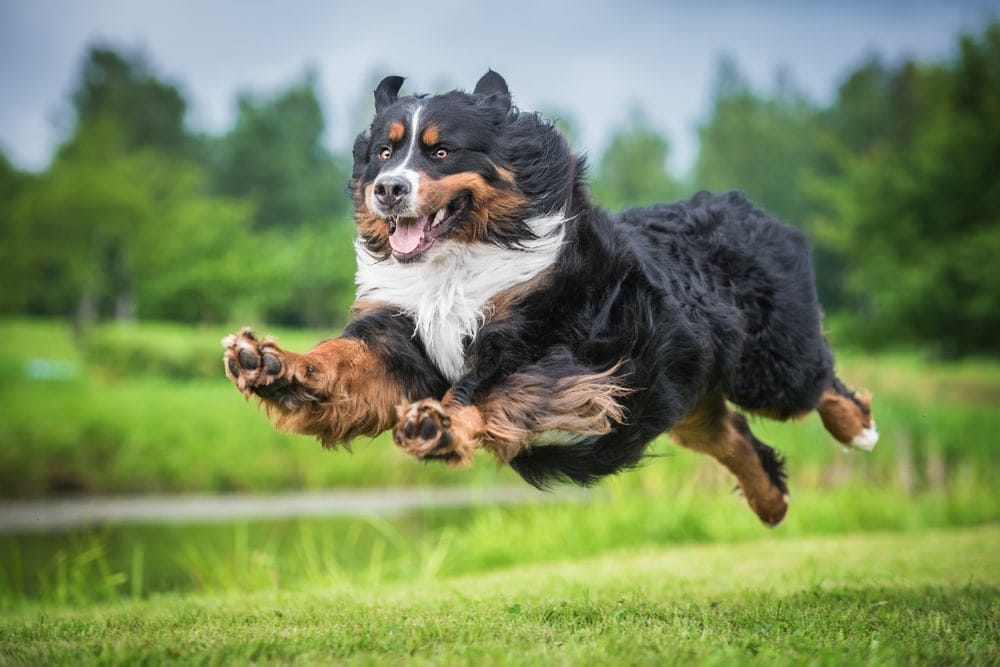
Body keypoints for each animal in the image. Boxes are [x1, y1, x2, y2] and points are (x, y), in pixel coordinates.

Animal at [225, 69, 876, 528]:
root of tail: (751, 209)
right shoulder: (398, 338)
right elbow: (339, 361)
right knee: (731, 434)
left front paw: (438, 425)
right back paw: (771, 503)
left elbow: (486, 390)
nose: (387, 189)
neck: (456, 266)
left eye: (441, 151)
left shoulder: (543, 345)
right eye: (384, 153)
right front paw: (268, 363)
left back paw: (858, 430)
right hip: (679, 393)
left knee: (821, 382)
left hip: (770, 366)